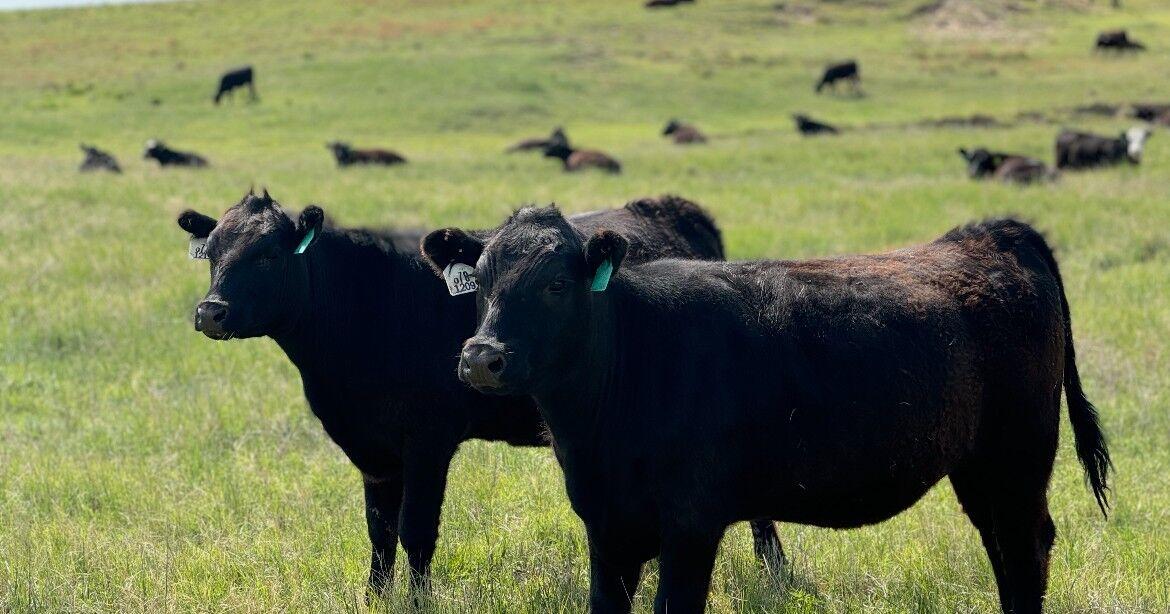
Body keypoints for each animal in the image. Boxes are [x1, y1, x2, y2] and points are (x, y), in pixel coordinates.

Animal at [176, 190, 782, 597]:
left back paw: (774, 572)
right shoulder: (372, 449)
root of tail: (670, 207)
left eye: (267, 255)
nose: (211, 312)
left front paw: (417, 603)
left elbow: (416, 531)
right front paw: (376, 598)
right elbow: (379, 531)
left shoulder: (428, 440)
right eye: (214, 252)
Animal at [423, 209, 1112, 614]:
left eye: (556, 284)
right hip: (979, 468)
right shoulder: (608, 529)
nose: (481, 357)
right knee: (1006, 552)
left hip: (1019, 457)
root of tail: (991, 235)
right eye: (481, 280)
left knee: (1026, 550)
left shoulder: (691, 526)